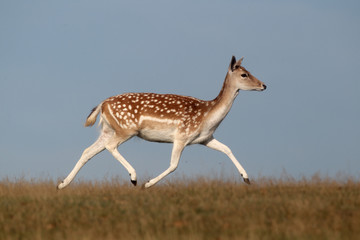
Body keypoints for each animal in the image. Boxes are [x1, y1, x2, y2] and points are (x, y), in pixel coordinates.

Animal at [57, 56, 266, 189]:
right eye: (244, 74)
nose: (264, 85)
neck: (208, 117)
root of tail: (102, 104)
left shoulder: (205, 139)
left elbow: (227, 149)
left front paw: (246, 178)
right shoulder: (181, 136)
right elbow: (174, 165)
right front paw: (148, 184)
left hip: (108, 130)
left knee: (87, 151)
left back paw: (62, 184)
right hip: (126, 129)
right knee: (110, 146)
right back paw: (134, 178)